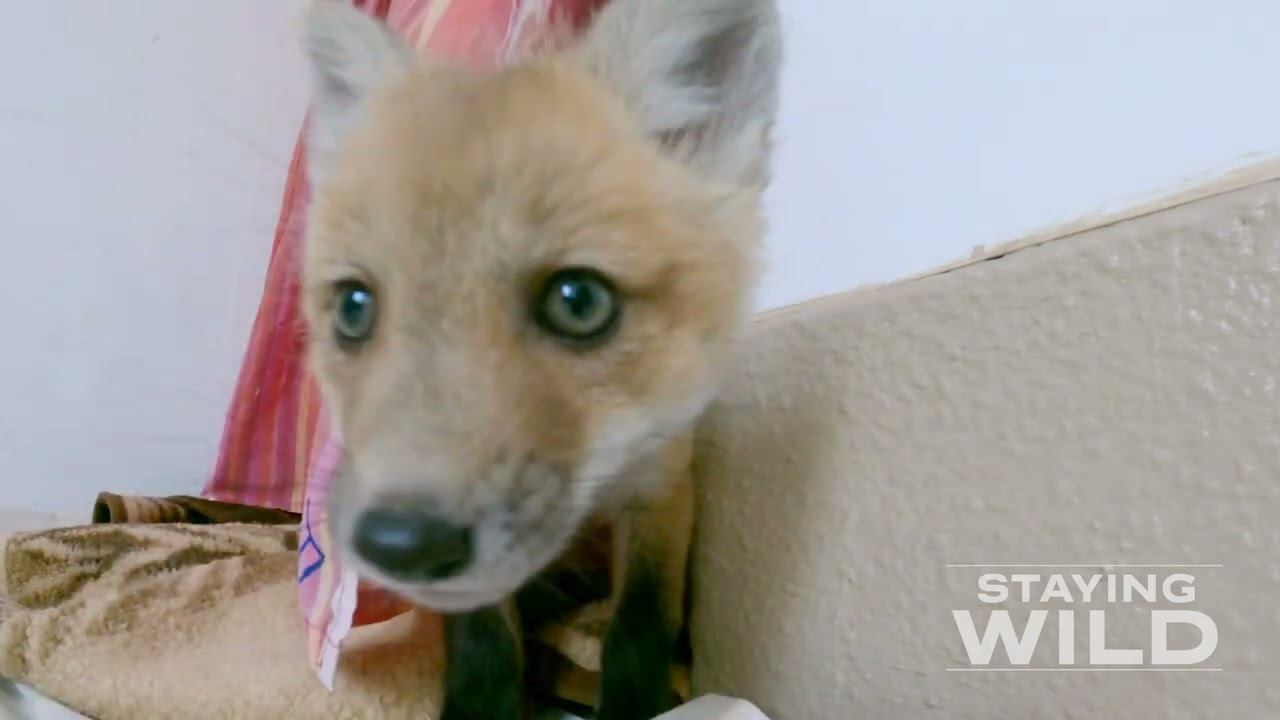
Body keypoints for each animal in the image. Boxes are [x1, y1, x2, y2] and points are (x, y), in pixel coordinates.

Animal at [297, 0, 782, 718]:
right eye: (355, 309)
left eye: (578, 301)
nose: (399, 544)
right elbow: (484, 640)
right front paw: (479, 705)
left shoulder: (661, 485)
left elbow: (639, 628)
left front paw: (637, 703)